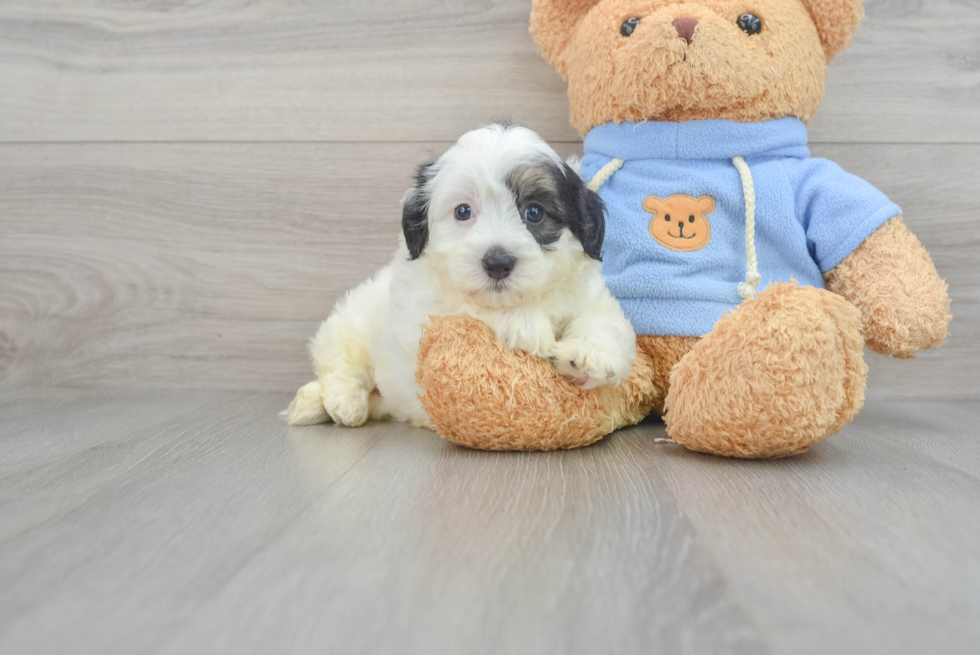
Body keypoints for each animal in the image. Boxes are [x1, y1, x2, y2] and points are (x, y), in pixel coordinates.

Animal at [286, 123, 636, 430]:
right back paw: (334, 403)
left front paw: (589, 355)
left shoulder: (588, 295)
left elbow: (604, 322)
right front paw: (524, 325)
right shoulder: (424, 312)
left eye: (535, 212)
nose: (498, 263)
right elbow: (466, 309)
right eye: (463, 212)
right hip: (352, 324)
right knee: (340, 363)